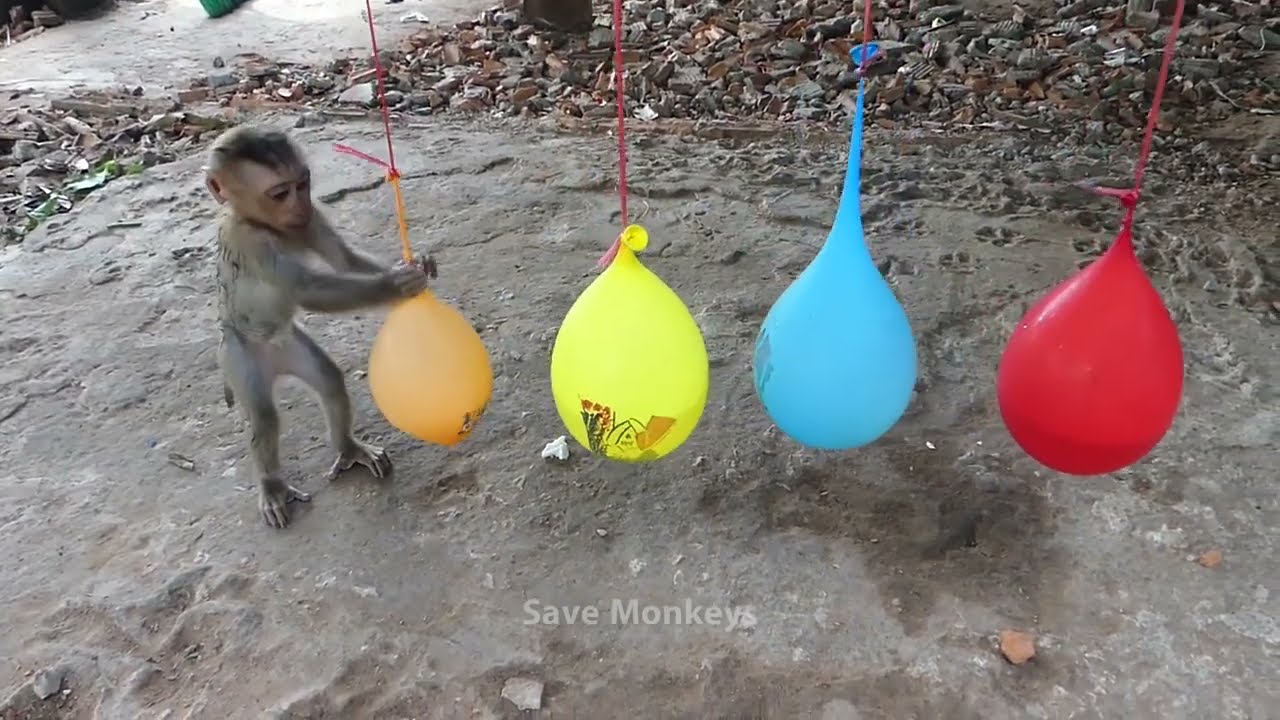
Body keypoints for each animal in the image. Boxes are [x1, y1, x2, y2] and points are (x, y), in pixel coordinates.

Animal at [205, 124, 437, 529]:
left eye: (303, 183)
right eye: (280, 193)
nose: (297, 205)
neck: (268, 225)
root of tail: (273, 358)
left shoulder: (310, 219)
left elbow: (344, 259)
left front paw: (416, 264)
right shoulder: (252, 241)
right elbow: (307, 289)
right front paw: (396, 285)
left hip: (291, 346)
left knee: (328, 379)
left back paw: (349, 448)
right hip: (239, 355)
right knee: (263, 417)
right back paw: (272, 485)